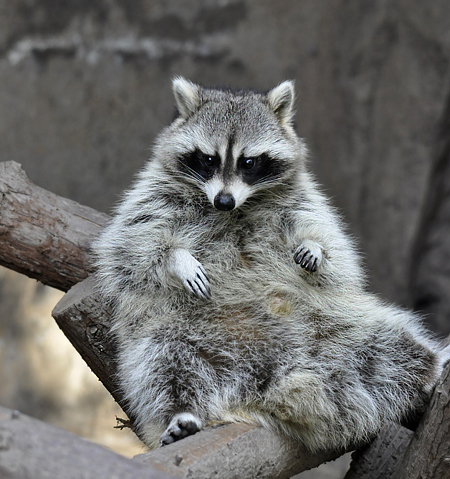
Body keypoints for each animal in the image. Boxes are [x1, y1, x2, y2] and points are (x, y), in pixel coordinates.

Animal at [93, 77, 448, 452]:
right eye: (208, 159)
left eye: (249, 162)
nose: (223, 201)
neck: (236, 208)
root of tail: (272, 380)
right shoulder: (152, 196)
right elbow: (135, 245)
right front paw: (179, 260)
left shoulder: (302, 200)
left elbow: (335, 249)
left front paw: (314, 248)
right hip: (178, 333)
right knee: (163, 368)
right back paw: (180, 413)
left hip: (341, 326)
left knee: (391, 346)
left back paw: (432, 366)